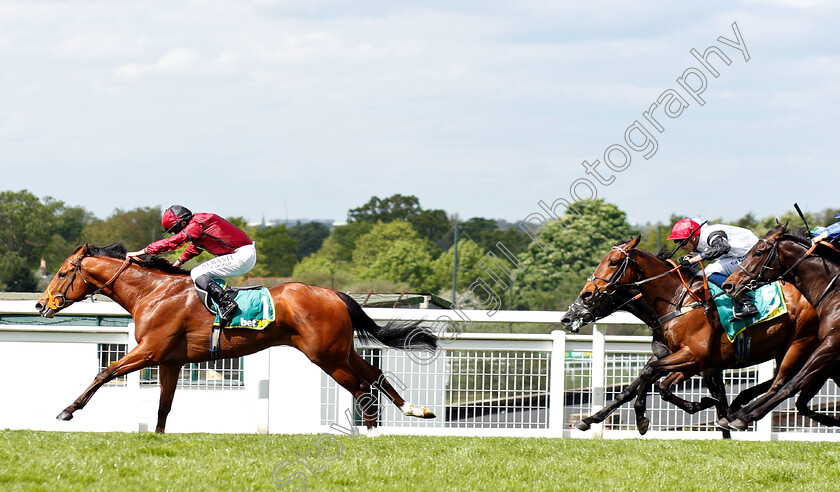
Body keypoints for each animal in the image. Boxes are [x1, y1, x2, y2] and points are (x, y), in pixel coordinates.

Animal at [36, 244, 436, 432]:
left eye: (62, 273)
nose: (41, 304)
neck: (153, 292)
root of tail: (334, 294)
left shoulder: (149, 351)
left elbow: (105, 373)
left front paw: (67, 411)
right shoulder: (170, 360)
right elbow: (164, 404)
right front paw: (157, 436)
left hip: (326, 356)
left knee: (361, 387)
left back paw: (370, 433)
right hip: (340, 350)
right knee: (374, 375)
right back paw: (415, 410)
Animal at [576, 236, 824, 432]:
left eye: (613, 262)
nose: (585, 296)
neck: (679, 300)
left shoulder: (696, 358)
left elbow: (650, 375)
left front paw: (641, 418)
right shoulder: (686, 360)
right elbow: (653, 385)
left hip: (798, 343)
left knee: (785, 380)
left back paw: (739, 413)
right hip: (784, 349)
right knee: (782, 380)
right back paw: (739, 407)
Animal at [720, 226, 840, 430]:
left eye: (757, 252)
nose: (728, 285)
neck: (835, 292)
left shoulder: (830, 346)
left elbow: (790, 385)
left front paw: (744, 416)